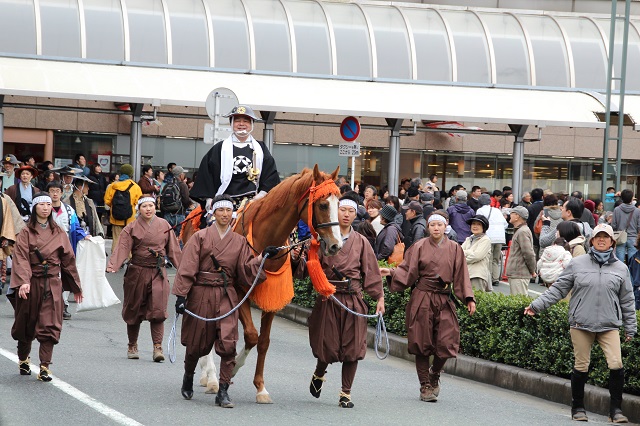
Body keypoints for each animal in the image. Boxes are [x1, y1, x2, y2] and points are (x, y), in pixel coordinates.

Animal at [180, 166, 342, 402]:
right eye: (322, 204)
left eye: (339, 203)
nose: (336, 245)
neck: (266, 239)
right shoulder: (239, 292)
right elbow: (251, 335)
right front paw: (232, 369)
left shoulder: (272, 295)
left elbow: (263, 341)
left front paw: (260, 387)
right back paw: (210, 376)